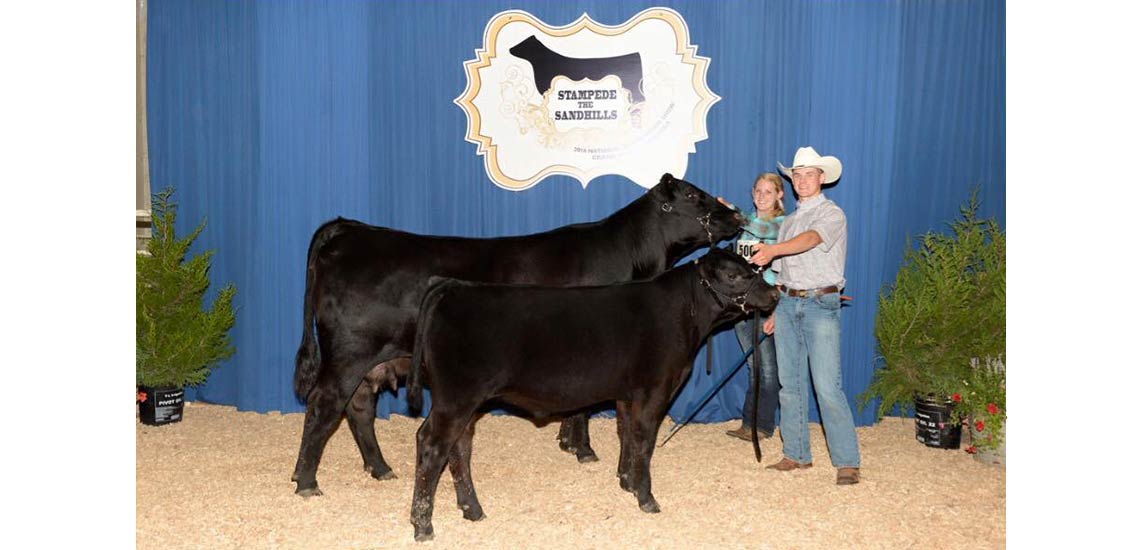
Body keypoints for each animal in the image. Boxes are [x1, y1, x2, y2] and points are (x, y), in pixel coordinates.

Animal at [289, 174, 743, 495]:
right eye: (695, 197)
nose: (737, 215)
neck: (629, 257)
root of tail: (350, 229)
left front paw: (569, 443)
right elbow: (583, 406)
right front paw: (583, 449)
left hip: (369, 360)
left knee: (358, 408)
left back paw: (380, 469)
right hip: (350, 351)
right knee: (324, 405)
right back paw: (308, 481)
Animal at [405, 247, 779, 538]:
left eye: (752, 267)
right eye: (734, 276)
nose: (774, 295)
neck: (684, 315)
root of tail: (454, 287)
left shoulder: (628, 393)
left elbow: (627, 434)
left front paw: (627, 481)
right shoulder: (656, 389)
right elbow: (645, 441)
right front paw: (647, 498)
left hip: (465, 402)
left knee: (460, 449)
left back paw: (472, 509)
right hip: (456, 398)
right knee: (432, 444)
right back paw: (423, 525)